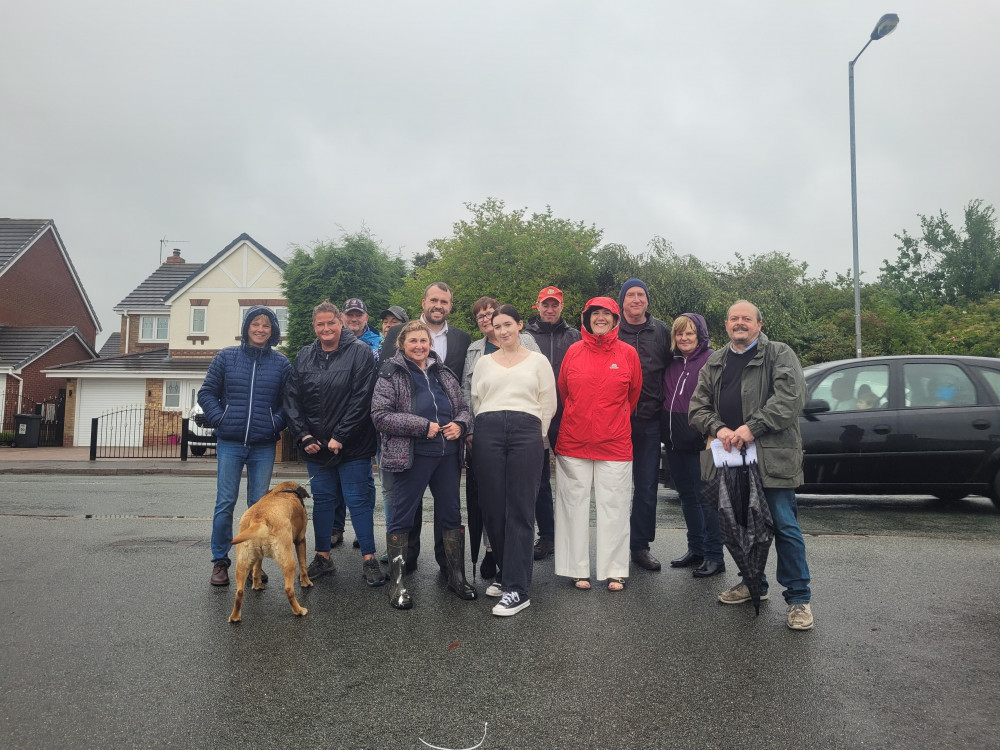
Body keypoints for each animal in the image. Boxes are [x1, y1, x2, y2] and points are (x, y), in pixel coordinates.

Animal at [229, 482, 312, 624]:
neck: (283, 491)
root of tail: (259, 519)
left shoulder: (258, 557)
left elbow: (256, 570)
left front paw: (257, 585)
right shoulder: (301, 540)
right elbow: (303, 567)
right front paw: (306, 583)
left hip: (242, 564)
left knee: (239, 592)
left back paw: (235, 617)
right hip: (289, 562)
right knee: (289, 590)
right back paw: (299, 610)